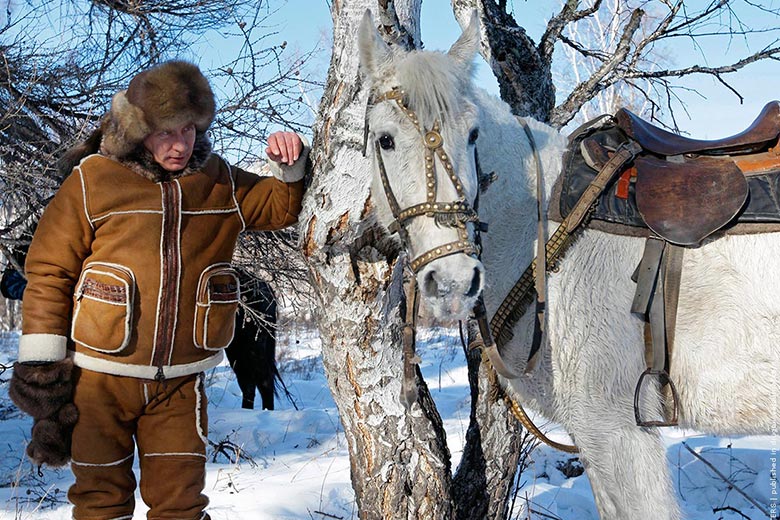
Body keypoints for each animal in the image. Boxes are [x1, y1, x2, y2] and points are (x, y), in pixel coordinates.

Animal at [358, 9, 772, 520]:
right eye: (386, 139)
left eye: (472, 135)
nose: (453, 281)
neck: (539, 227)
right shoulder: (597, 438)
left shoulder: (616, 429)